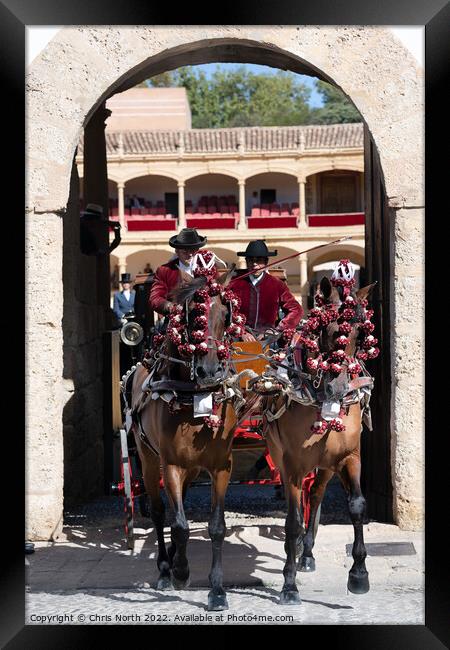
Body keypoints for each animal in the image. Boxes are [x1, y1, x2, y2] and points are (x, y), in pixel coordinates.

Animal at [128, 266, 243, 612]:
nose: (210, 370)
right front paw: (180, 572)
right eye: (192, 315)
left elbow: (216, 527)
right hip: (148, 459)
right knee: (158, 511)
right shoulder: (171, 465)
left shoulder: (221, 466)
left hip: (191, 468)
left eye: (226, 314)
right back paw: (166, 569)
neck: (193, 395)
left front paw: (217, 591)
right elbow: (178, 525)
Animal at [258, 274, 378, 604]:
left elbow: (357, 505)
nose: (337, 388)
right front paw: (288, 584)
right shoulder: (291, 465)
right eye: (328, 330)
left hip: (324, 466)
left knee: (315, 496)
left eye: (360, 333)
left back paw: (307, 552)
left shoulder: (350, 456)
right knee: (298, 507)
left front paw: (359, 574)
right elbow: (292, 521)